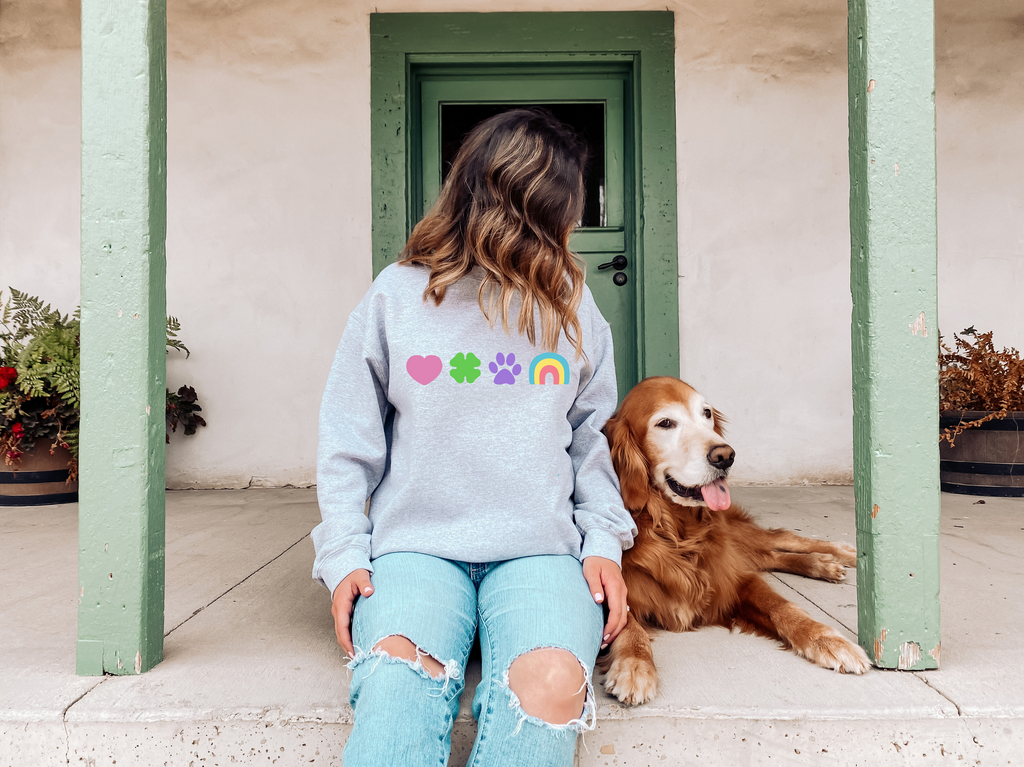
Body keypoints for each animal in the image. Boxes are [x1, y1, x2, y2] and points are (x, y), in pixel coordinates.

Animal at [598, 374, 872, 704]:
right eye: (665, 423)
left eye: (706, 413)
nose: (725, 456)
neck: (676, 530)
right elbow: (627, 625)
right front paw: (635, 665)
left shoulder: (735, 578)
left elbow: (783, 606)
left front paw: (828, 639)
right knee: (770, 556)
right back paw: (823, 564)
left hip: (737, 533)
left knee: (779, 540)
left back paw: (839, 556)